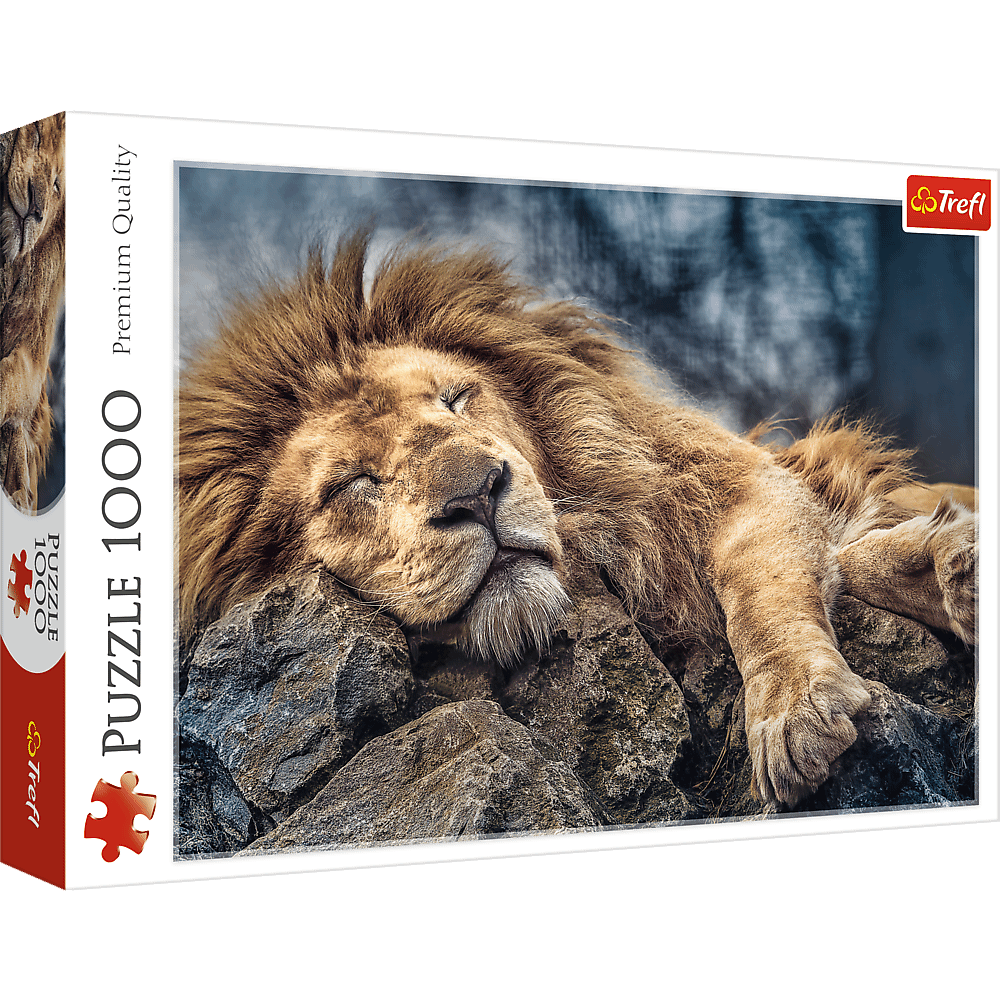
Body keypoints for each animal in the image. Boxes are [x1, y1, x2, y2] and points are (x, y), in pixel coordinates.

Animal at [177, 228, 978, 809]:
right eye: (353, 483)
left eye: (456, 400)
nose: (478, 493)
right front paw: (945, 569)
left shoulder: (735, 484)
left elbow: (765, 591)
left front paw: (798, 710)